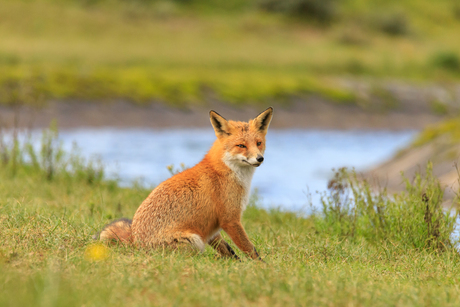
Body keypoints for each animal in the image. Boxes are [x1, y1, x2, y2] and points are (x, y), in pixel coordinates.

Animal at [94, 107, 274, 262]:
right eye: (241, 146)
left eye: (258, 143)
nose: (260, 159)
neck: (226, 170)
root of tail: (135, 243)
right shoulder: (230, 219)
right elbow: (249, 248)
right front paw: (261, 266)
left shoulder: (211, 227)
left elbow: (228, 249)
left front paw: (237, 264)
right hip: (193, 241)